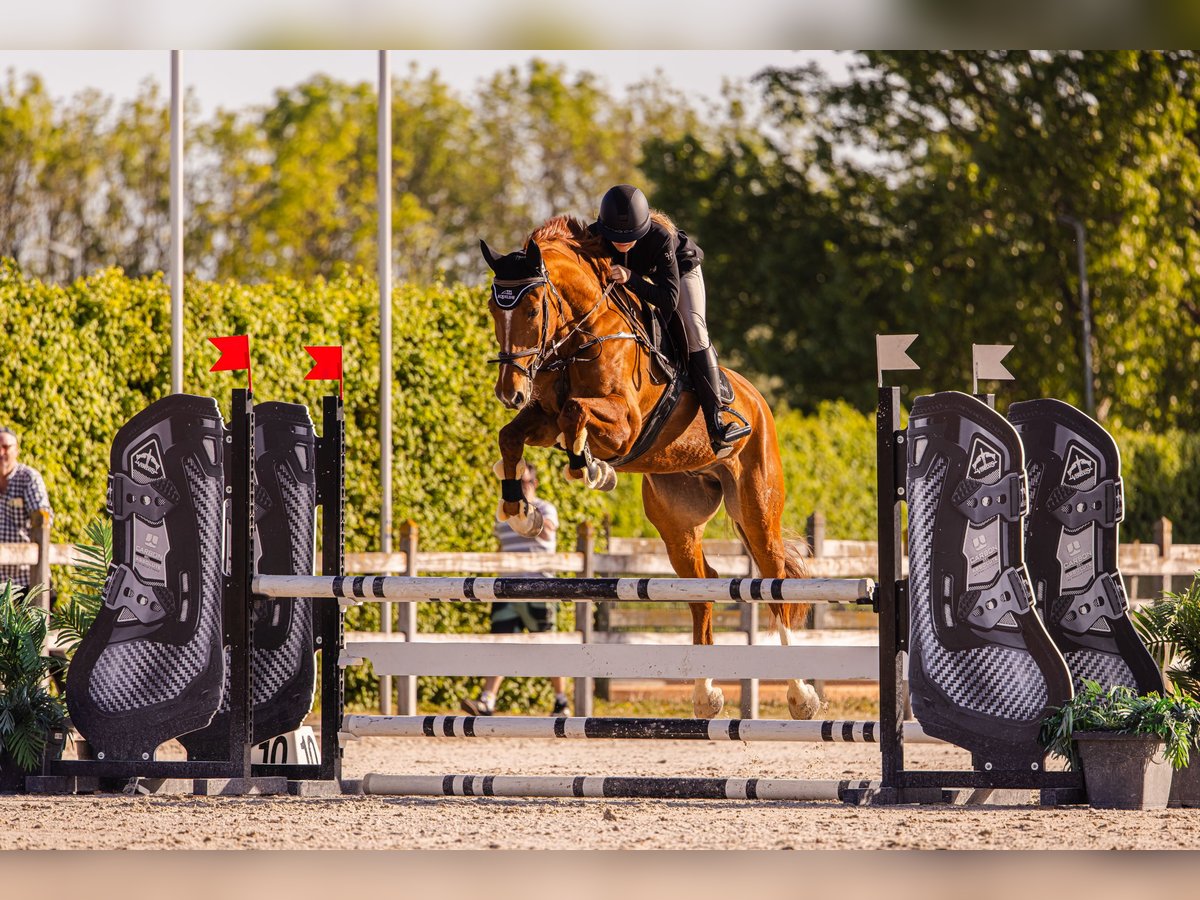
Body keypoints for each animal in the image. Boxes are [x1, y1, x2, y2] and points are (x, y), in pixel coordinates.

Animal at [482, 217, 820, 720]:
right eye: (493, 307)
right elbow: (515, 434)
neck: (583, 336)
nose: (509, 391)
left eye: (532, 306)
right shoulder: (541, 415)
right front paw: (519, 511)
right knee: (704, 587)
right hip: (676, 519)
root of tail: (757, 401)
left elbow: (576, 414)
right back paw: (705, 695)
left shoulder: (625, 424)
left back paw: (800, 696)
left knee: (773, 581)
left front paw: (589, 468)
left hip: (757, 507)